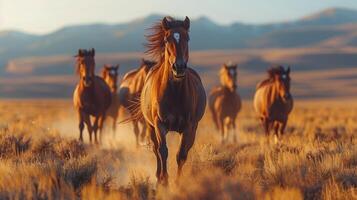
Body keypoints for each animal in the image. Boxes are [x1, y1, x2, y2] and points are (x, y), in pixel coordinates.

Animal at [138, 16, 206, 185]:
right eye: (166, 39)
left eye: (187, 38)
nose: (179, 67)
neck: (174, 93)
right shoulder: (159, 124)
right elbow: (163, 151)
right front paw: (164, 180)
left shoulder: (188, 127)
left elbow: (181, 154)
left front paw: (177, 182)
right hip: (150, 127)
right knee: (155, 149)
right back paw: (158, 176)